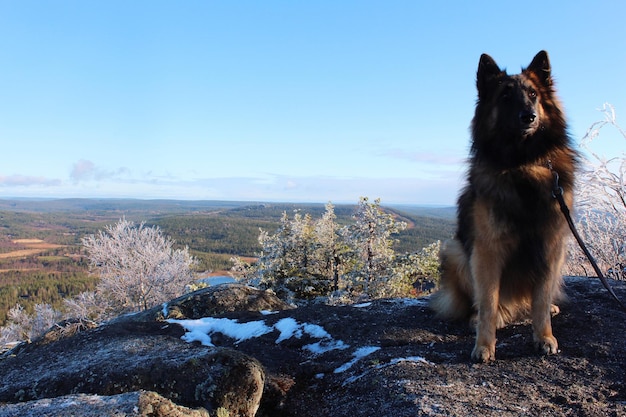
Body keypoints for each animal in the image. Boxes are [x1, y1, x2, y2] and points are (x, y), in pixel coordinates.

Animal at [428, 49, 576, 360]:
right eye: (505, 97)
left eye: (533, 94)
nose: (529, 116)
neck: (522, 164)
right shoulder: (487, 249)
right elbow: (487, 302)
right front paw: (484, 345)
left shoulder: (551, 245)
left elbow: (540, 300)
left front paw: (544, 336)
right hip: (456, 252)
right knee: (479, 303)